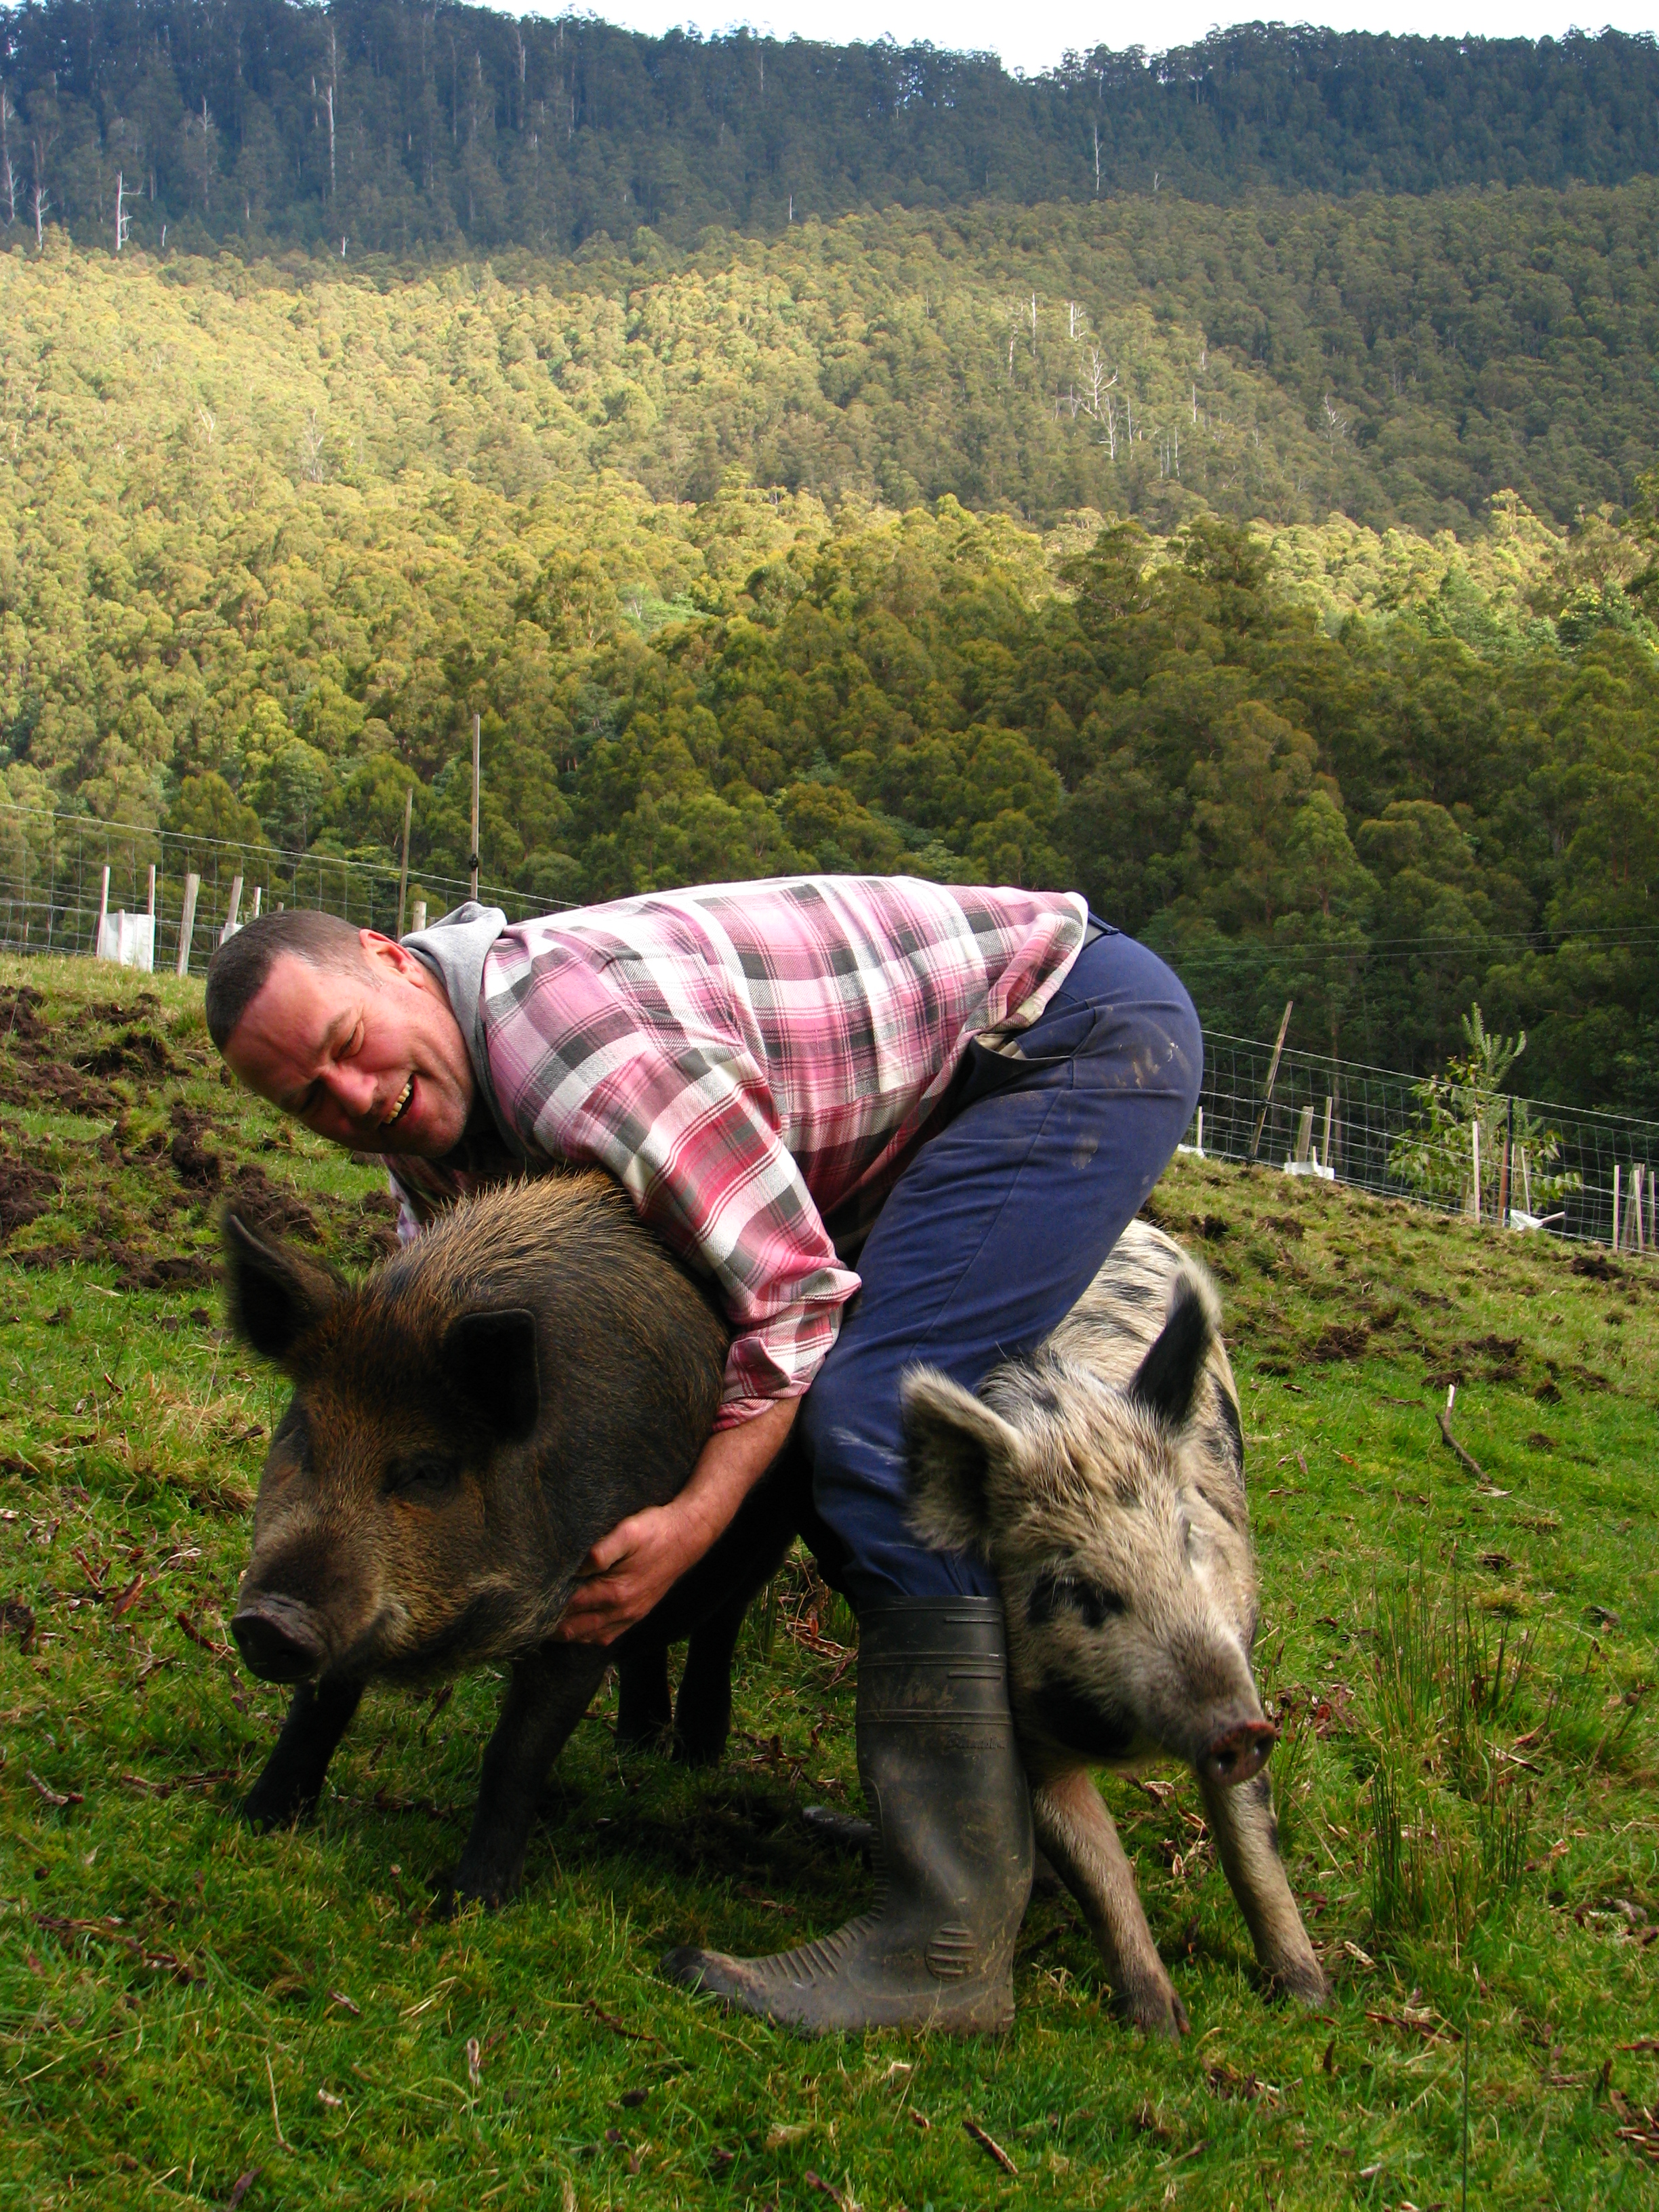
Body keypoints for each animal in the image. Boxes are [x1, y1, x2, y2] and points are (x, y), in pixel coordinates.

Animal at [222, 1168, 805, 1911]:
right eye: (303, 1436)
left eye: (427, 1471)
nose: (272, 1619)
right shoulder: (353, 1623)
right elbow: (315, 1709)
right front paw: (253, 1821)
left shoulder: (595, 1591)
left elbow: (516, 1752)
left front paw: (467, 1905)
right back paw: (636, 1745)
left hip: (766, 1531)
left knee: (720, 1622)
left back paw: (694, 1755)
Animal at [902, 1229, 1336, 2034]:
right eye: (1074, 1589)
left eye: (1189, 1536)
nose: (1240, 1732)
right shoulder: (1023, 1718)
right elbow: (1096, 1864)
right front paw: (1160, 2024)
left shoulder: (1240, 1653)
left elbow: (1252, 1840)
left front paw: (1308, 1996)